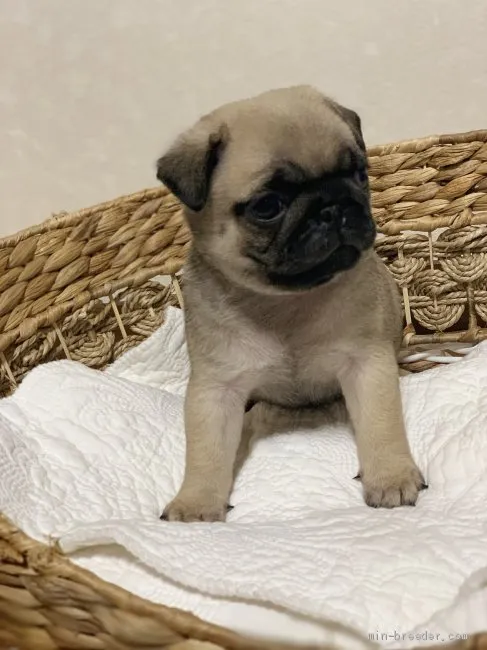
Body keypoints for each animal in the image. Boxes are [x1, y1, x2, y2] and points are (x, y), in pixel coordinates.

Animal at [156, 85, 426, 522]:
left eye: (359, 174)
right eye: (268, 206)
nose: (334, 206)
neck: (286, 306)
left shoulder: (367, 367)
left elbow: (381, 425)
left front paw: (390, 476)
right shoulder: (217, 390)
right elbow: (206, 452)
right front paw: (195, 504)